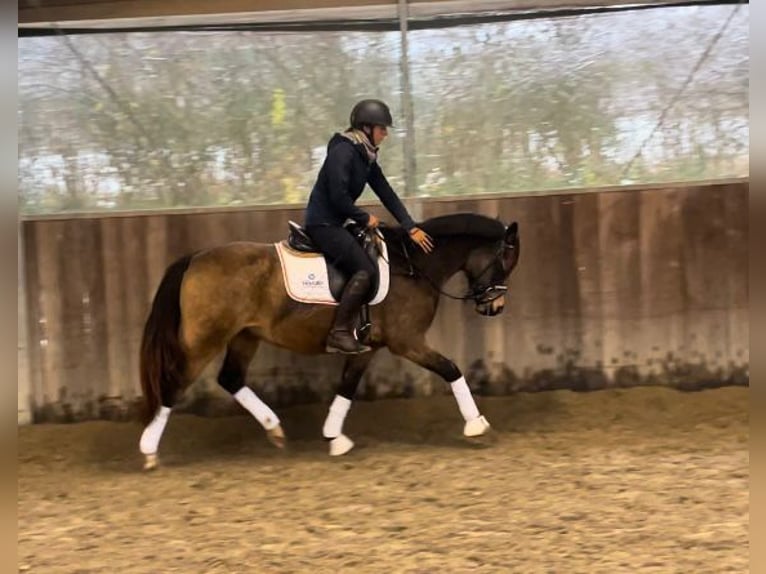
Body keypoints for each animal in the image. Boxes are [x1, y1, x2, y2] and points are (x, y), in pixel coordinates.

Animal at [138, 214, 520, 470]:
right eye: (504, 261)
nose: (495, 307)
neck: (413, 266)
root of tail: (195, 258)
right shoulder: (407, 341)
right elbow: (451, 369)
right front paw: (477, 424)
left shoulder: (368, 346)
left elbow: (347, 386)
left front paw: (335, 437)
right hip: (205, 339)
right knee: (174, 385)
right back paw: (150, 450)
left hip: (246, 336)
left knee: (230, 378)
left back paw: (275, 429)